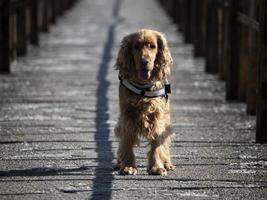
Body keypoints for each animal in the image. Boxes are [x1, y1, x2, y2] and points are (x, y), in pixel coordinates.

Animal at [114, 28, 175, 176]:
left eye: (153, 46)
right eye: (136, 47)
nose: (144, 61)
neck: (143, 86)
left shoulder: (157, 117)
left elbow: (157, 143)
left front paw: (156, 167)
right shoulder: (127, 116)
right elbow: (127, 142)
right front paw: (128, 166)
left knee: (165, 144)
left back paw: (167, 163)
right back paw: (119, 163)